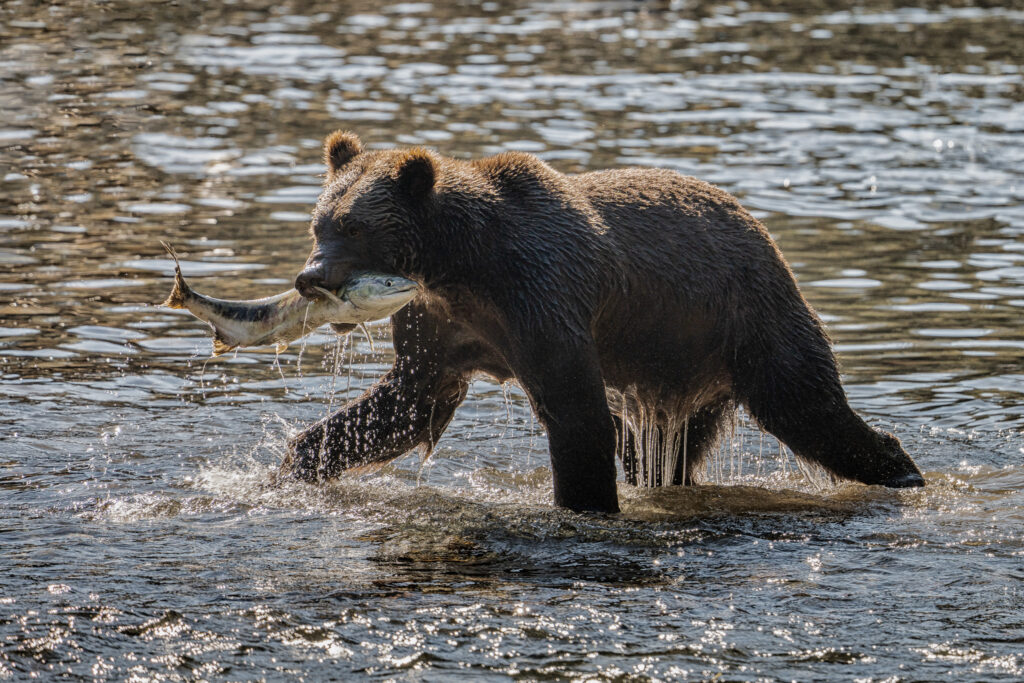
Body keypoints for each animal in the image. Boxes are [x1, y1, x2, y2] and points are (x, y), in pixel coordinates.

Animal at [280, 130, 924, 513]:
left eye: (355, 226)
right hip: (680, 358)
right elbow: (408, 402)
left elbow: (575, 411)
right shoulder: (442, 323)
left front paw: (583, 502)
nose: (311, 276)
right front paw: (296, 461)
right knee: (663, 448)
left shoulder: (540, 292)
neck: (460, 264)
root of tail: (763, 233)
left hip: (748, 320)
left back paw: (901, 470)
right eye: (319, 221)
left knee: (808, 407)